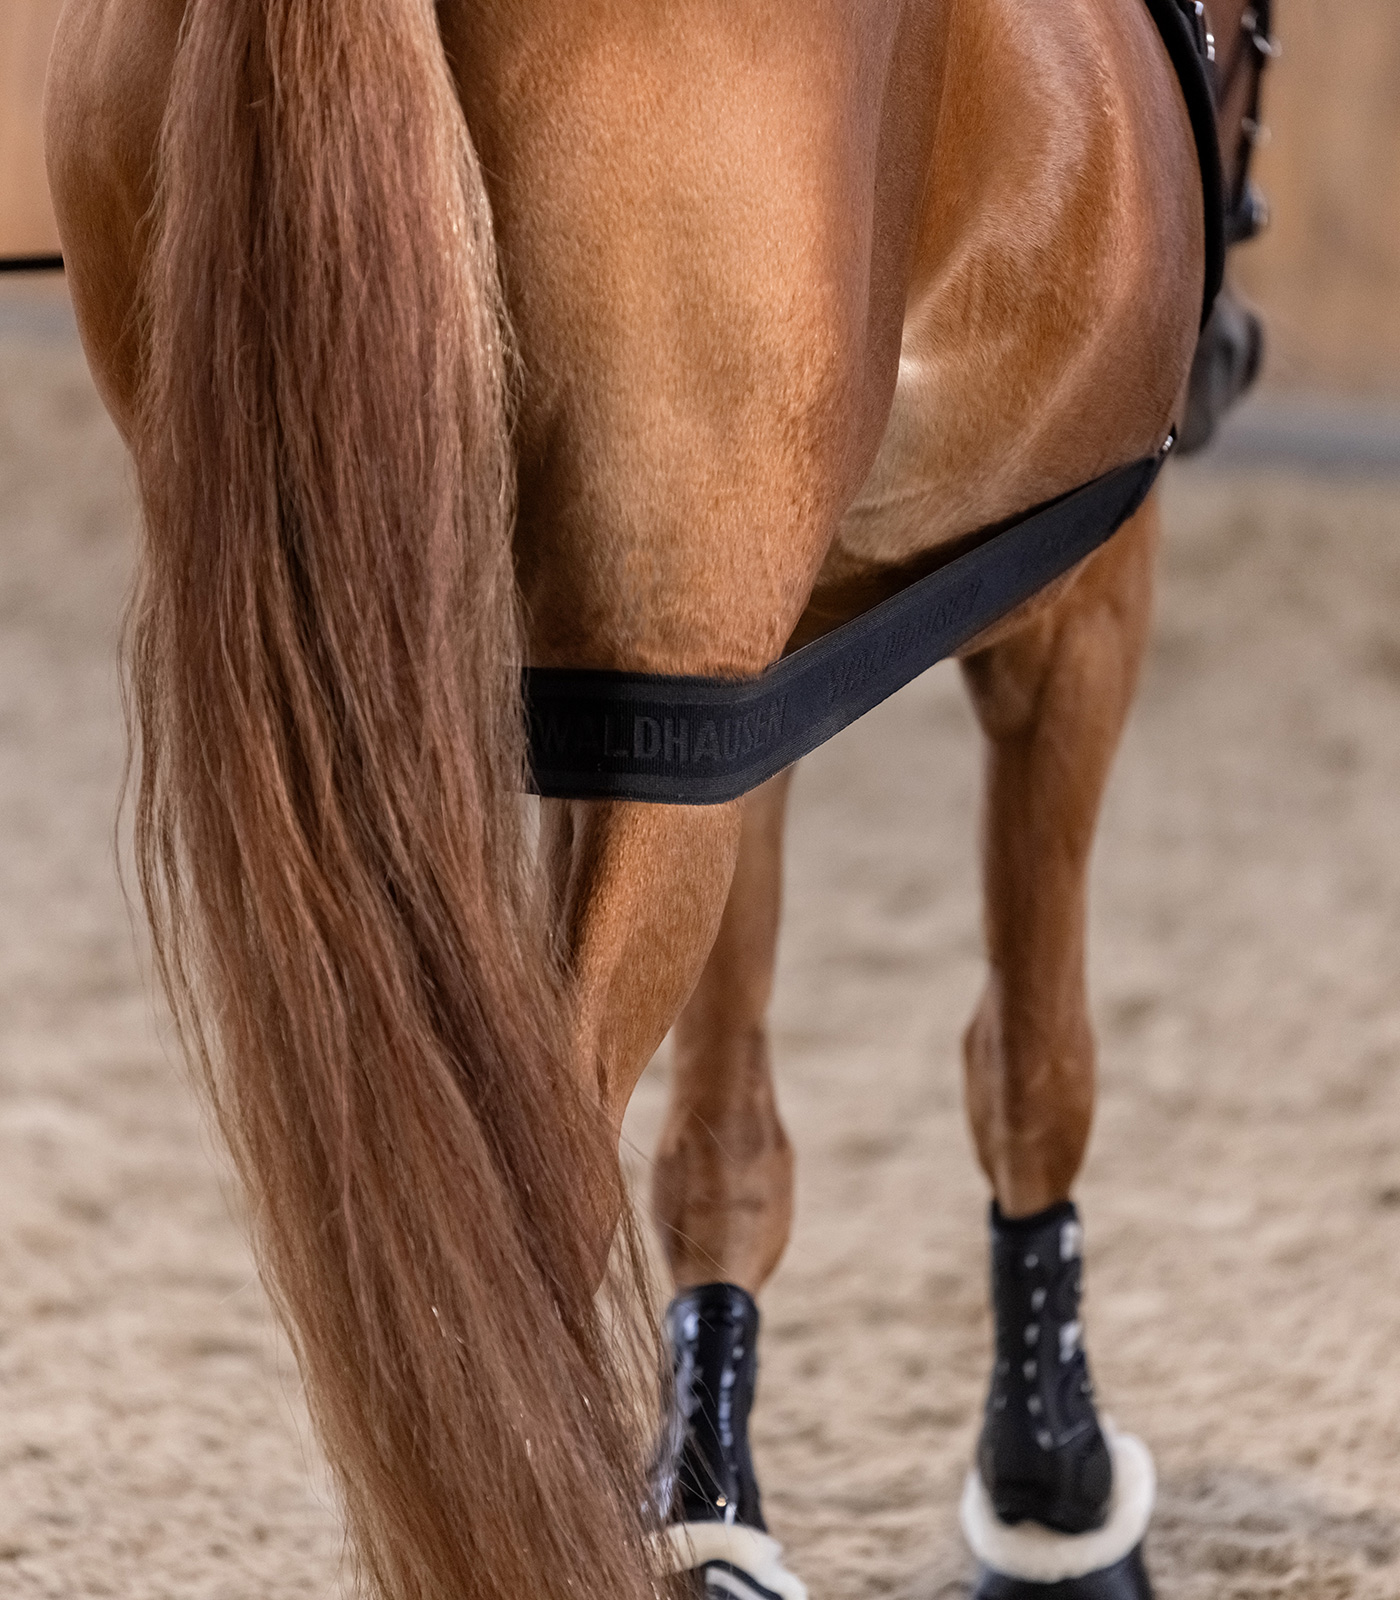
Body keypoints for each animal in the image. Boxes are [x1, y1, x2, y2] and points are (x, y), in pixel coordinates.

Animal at [41, 0, 1269, 1597]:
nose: (1232, 352)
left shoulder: (734, 700)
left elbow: (720, 1133)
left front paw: (713, 1501)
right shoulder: (1074, 612)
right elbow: (1034, 1063)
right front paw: (1053, 1496)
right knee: (520, 1220)